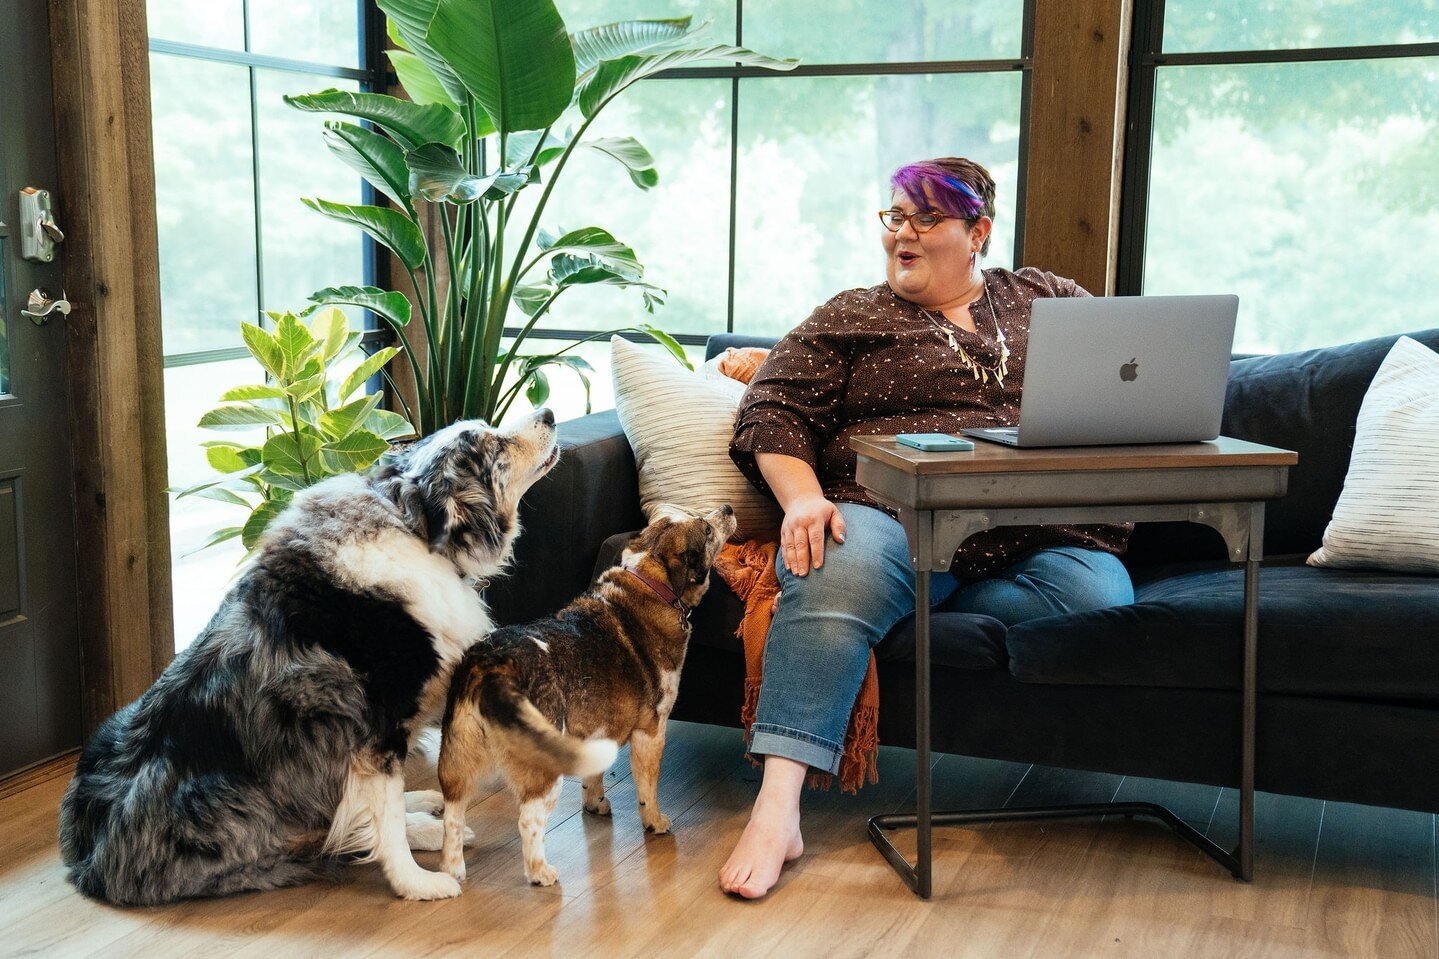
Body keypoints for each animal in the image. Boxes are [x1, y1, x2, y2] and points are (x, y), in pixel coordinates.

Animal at [434, 503, 731, 887]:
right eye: (707, 529)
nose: (727, 508)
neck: (648, 582)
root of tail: (492, 668)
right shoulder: (651, 730)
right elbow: (648, 787)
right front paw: (655, 822)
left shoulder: (598, 730)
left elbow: (594, 775)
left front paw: (595, 804)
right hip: (543, 765)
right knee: (528, 820)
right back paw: (540, 872)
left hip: (457, 761)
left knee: (453, 816)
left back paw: (452, 871)